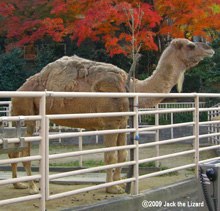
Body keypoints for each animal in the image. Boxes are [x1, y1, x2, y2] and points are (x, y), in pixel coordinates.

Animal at [9, 37, 213, 194]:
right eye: (191, 45)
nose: (209, 47)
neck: (131, 88)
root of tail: (16, 93)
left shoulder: (121, 123)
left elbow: (122, 155)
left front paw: (120, 184)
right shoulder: (109, 123)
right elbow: (110, 157)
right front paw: (111, 188)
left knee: (15, 151)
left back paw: (18, 184)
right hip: (26, 113)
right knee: (25, 151)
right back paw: (33, 187)